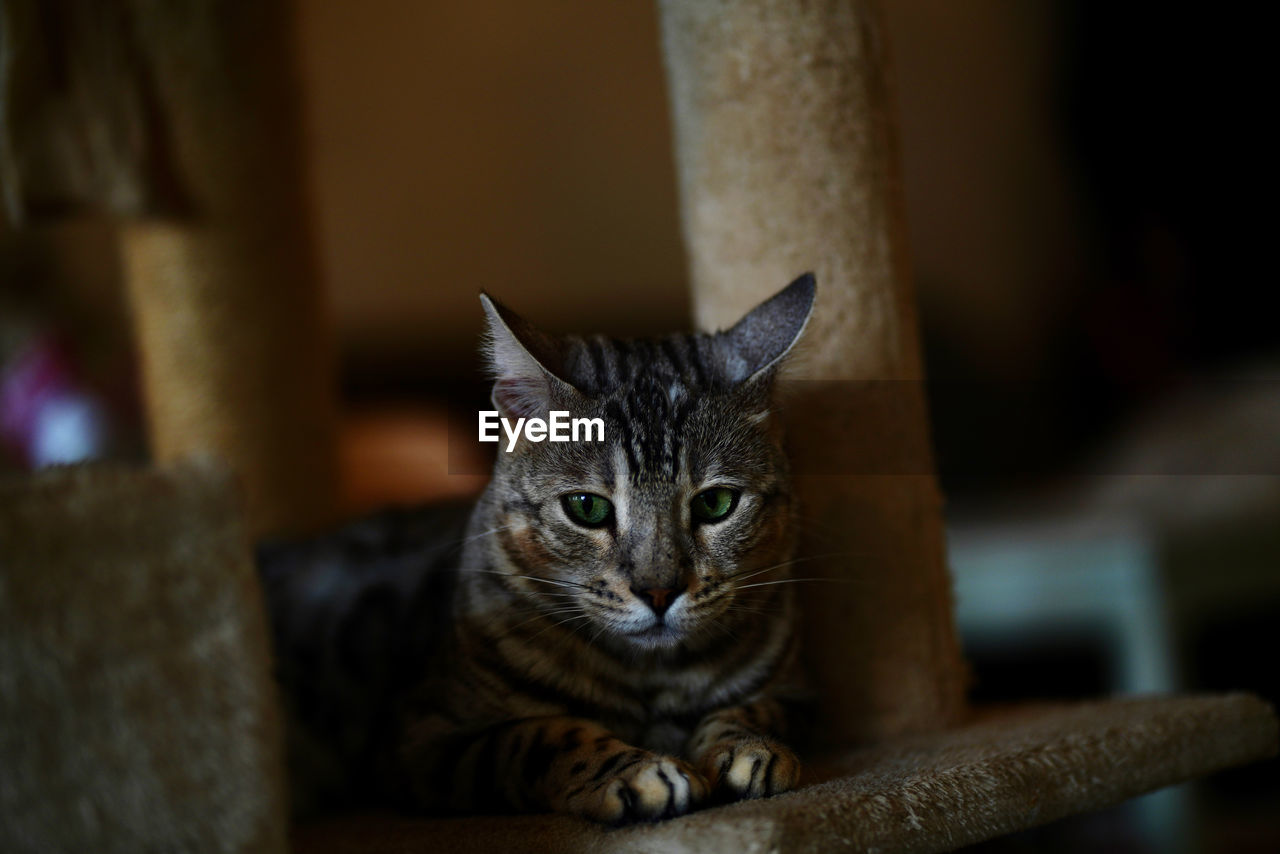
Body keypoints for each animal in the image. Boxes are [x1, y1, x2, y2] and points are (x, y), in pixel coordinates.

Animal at [261, 273, 819, 819]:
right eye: (586, 507)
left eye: (716, 503)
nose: (659, 592)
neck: (651, 681)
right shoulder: (420, 739)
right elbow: (537, 736)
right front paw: (640, 772)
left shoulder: (797, 690)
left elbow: (759, 706)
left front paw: (749, 746)